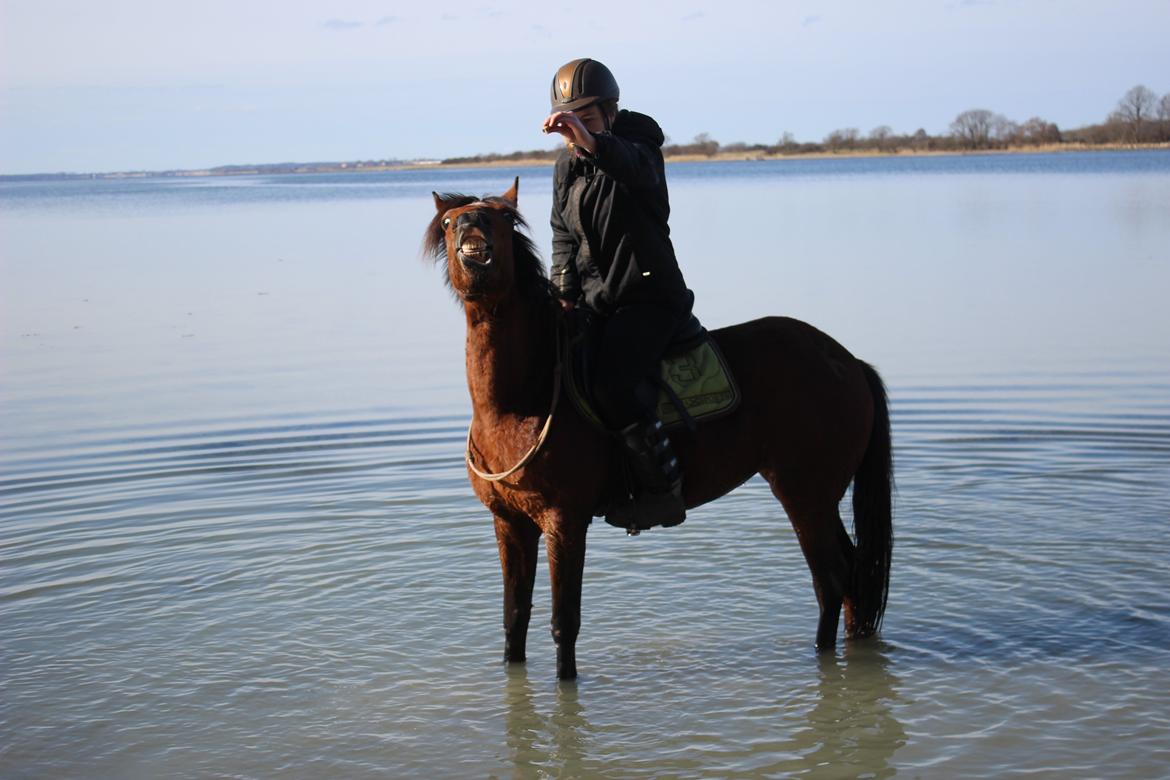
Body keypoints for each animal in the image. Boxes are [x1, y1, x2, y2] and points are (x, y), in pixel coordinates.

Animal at [425, 180, 889, 678]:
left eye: (503, 219)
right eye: (449, 222)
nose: (471, 227)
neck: (522, 396)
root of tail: (849, 362)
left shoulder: (564, 521)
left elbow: (564, 622)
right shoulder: (509, 522)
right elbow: (515, 617)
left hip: (804, 494)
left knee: (831, 579)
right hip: (819, 497)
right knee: (851, 575)